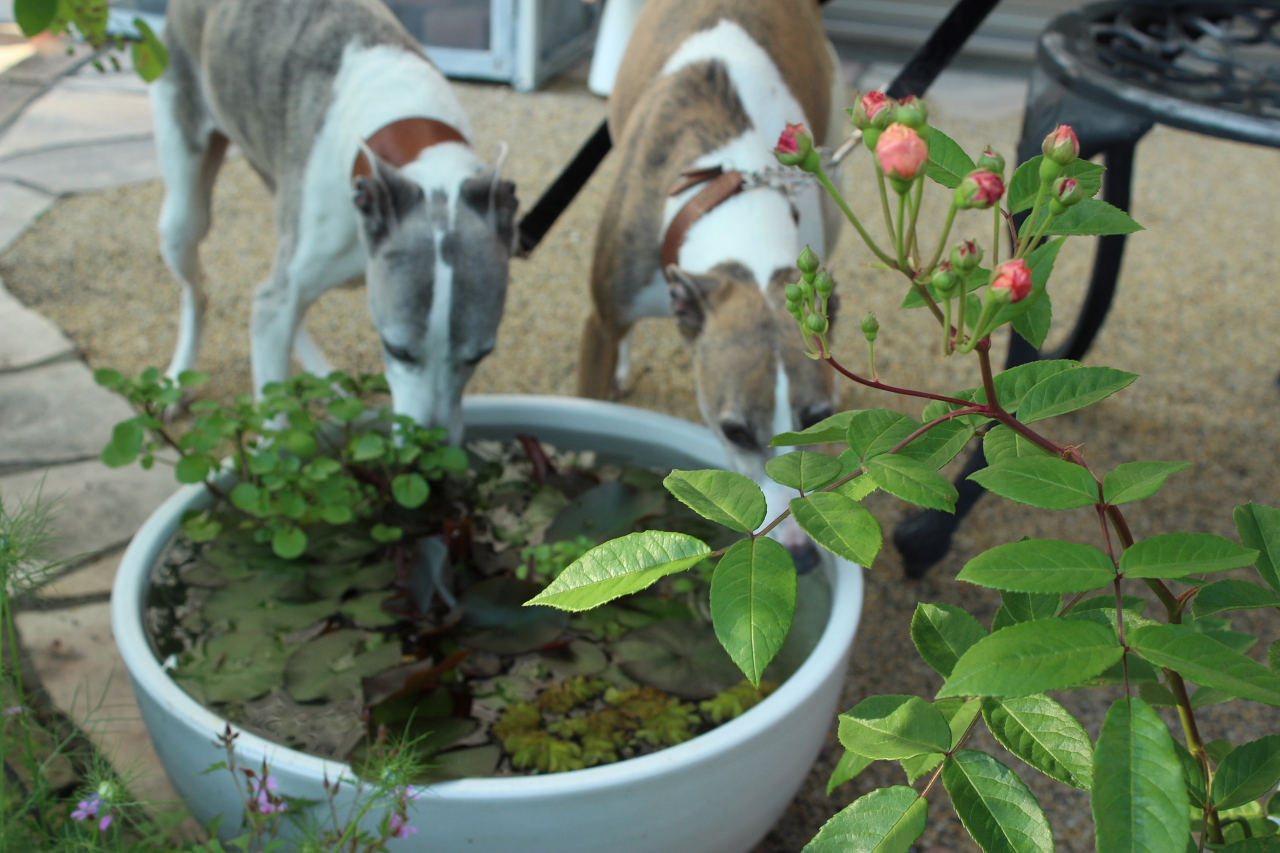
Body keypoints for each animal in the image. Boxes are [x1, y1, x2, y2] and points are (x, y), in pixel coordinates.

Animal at [149, 0, 509, 438]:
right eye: (397, 349)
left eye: (482, 353)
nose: (430, 447)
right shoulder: (286, 294)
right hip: (183, 213)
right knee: (197, 292)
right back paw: (177, 378)